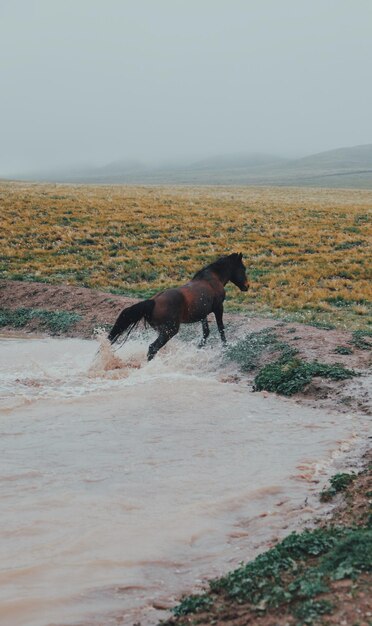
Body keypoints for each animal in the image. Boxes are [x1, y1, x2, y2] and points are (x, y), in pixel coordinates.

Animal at [107, 251, 248, 358]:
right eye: (243, 268)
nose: (247, 286)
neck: (213, 278)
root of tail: (153, 301)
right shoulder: (218, 308)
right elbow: (221, 329)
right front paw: (225, 347)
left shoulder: (203, 314)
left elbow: (206, 332)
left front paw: (199, 348)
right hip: (170, 331)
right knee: (152, 348)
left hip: (162, 330)